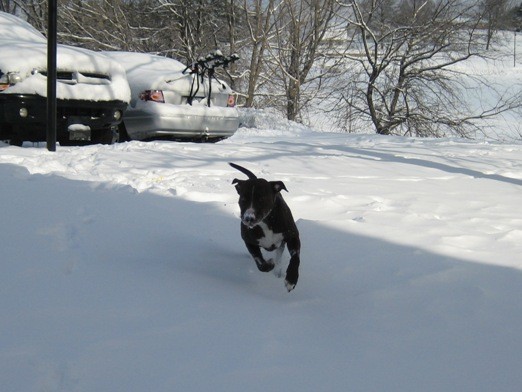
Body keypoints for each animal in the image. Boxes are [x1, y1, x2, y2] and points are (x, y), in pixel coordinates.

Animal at [229, 162, 300, 290]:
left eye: (261, 199)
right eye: (243, 199)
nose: (248, 218)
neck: (266, 222)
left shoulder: (293, 236)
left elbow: (295, 258)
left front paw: (291, 279)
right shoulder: (249, 242)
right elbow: (260, 263)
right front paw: (269, 264)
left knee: (279, 256)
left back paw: (278, 272)